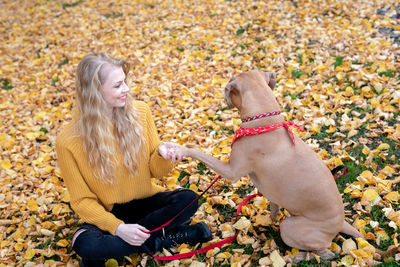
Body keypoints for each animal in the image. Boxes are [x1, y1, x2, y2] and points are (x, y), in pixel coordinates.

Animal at [175, 69, 362, 260]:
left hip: (291, 228)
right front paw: (270, 219)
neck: (266, 122)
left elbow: (198, 152)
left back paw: (295, 257)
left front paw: (179, 149)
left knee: (323, 252)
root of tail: (340, 224)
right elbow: (274, 205)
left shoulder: (231, 171)